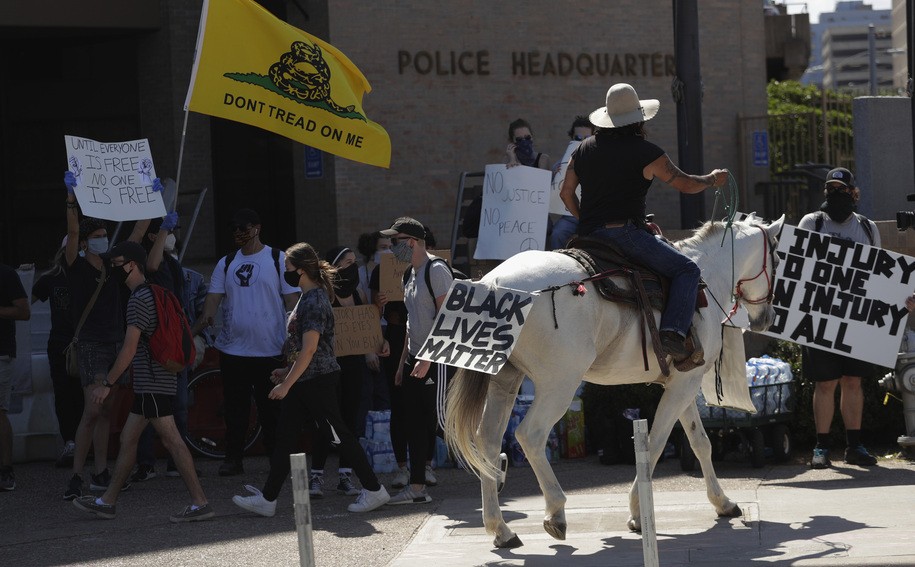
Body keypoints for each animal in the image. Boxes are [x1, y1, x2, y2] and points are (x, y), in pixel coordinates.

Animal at [446, 215, 788, 548]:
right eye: (777, 259)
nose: (766, 319)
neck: (707, 274)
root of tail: (493, 283)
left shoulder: (683, 384)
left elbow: (700, 442)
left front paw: (723, 502)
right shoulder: (684, 385)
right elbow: (656, 442)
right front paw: (638, 512)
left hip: (504, 380)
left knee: (488, 441)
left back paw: (500, 529)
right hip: (559, 384)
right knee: (530, 435)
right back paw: (555, 512)